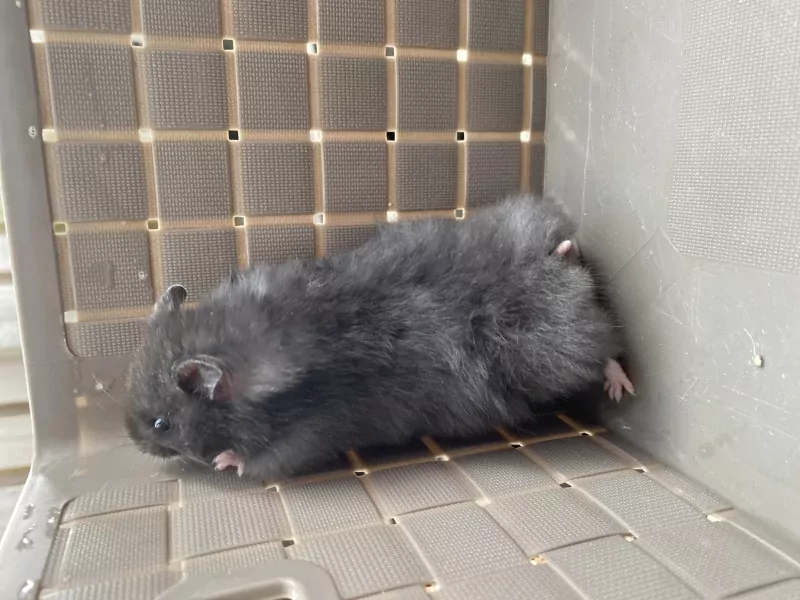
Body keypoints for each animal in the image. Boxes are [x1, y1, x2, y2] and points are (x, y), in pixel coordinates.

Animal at [124, 194, 634, 479]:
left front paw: (225, 461)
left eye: (160, 424)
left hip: (549, 350)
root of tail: (551, 259)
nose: (132, 440)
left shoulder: (307, 431)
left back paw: (620, 387)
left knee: (603, 351)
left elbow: (267, 460)